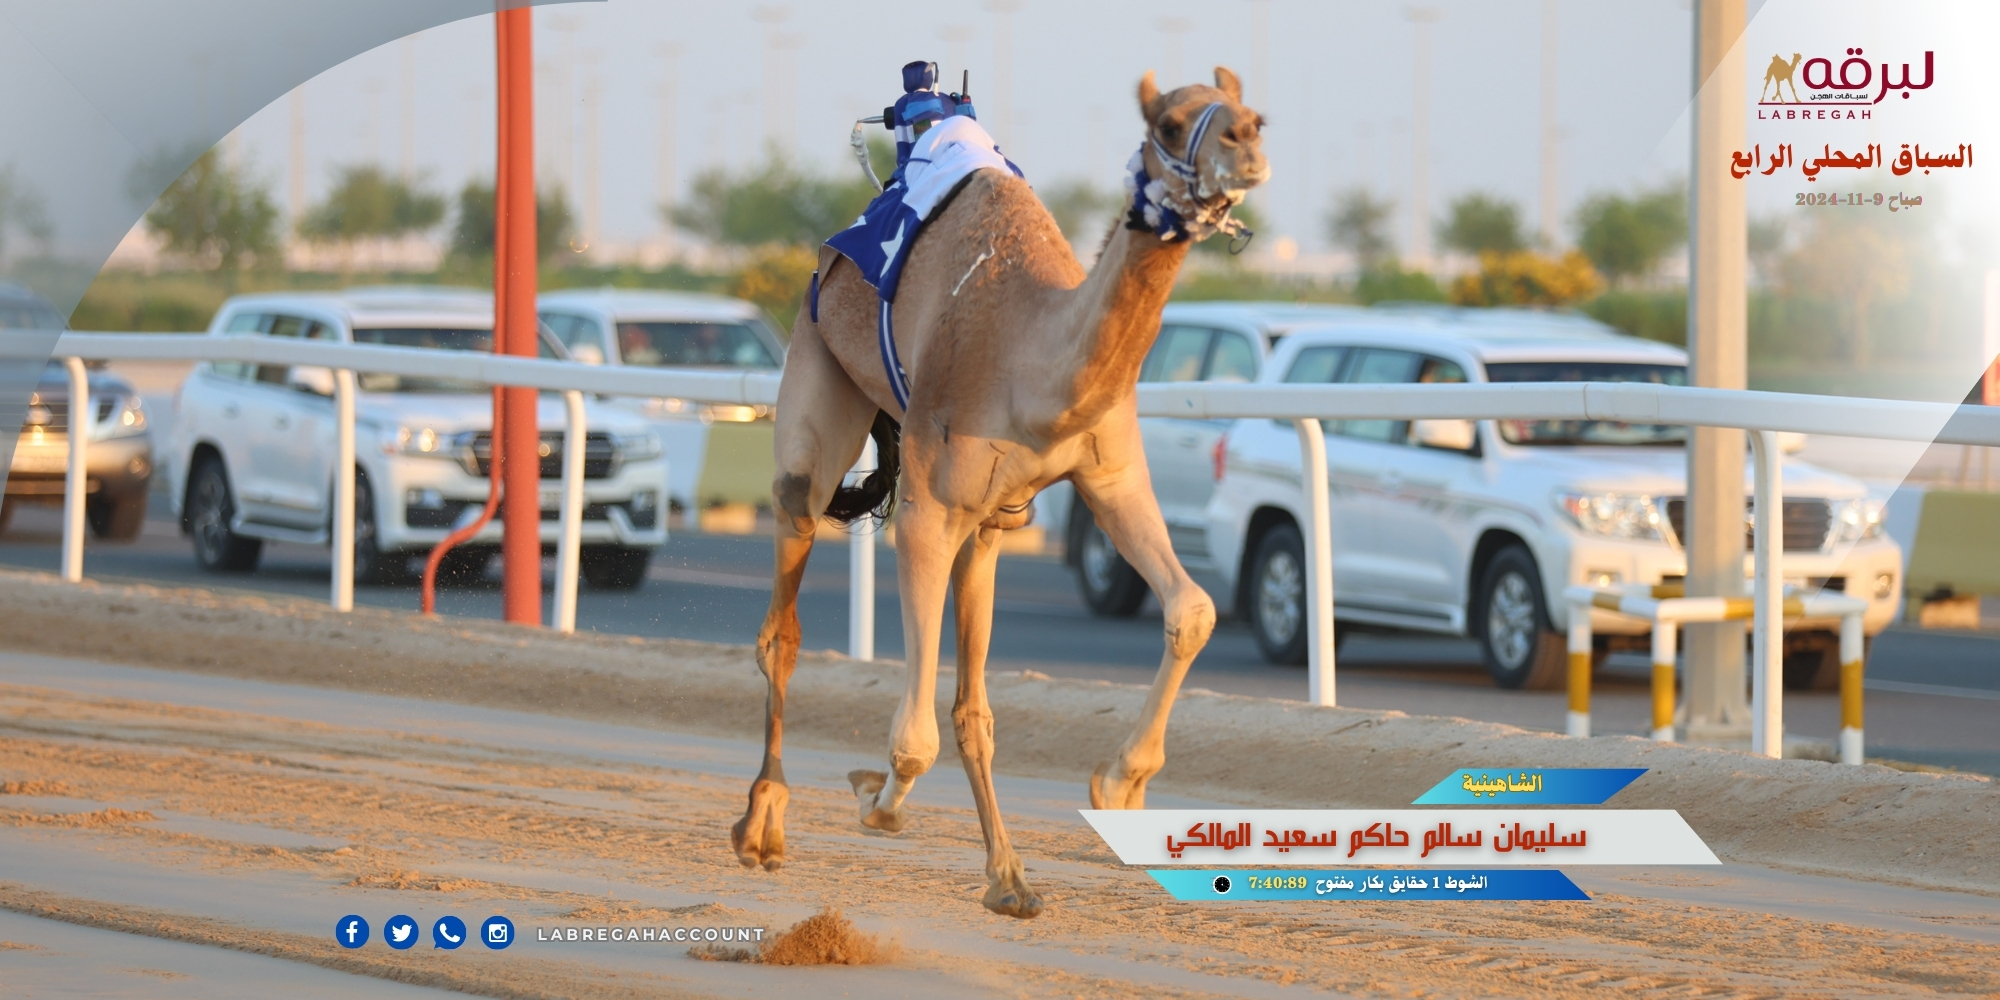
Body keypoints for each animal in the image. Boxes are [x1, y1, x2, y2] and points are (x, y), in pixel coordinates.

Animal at [732, 66, 1264, 916]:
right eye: (1170, 124)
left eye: (1254, 116)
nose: (1245, 147)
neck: (1032, 364)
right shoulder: (928, 508)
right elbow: (912, 739)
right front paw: (874, 800)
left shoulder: (1108, 473)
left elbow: (1194, 610)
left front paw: (1112, 791)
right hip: (815, 377)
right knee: (783, 611)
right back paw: (762, 826)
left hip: (987, 524)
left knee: (971, 698)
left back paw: (1003, 869)